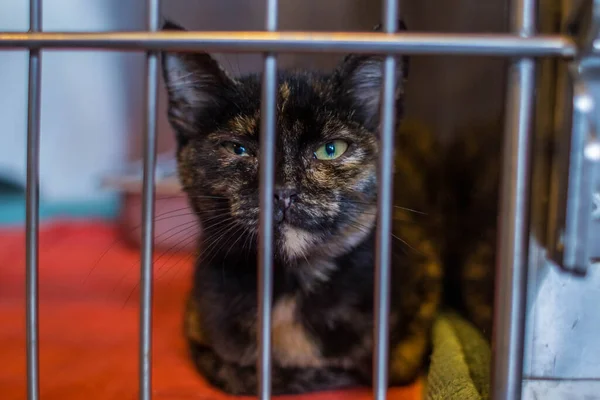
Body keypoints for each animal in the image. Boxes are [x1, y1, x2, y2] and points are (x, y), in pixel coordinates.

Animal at [159, 20, 496, 396]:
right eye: (238, 150)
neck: (289, 286)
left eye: (330, 149)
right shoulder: (198, 330)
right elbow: (237, 373)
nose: (282, 191)